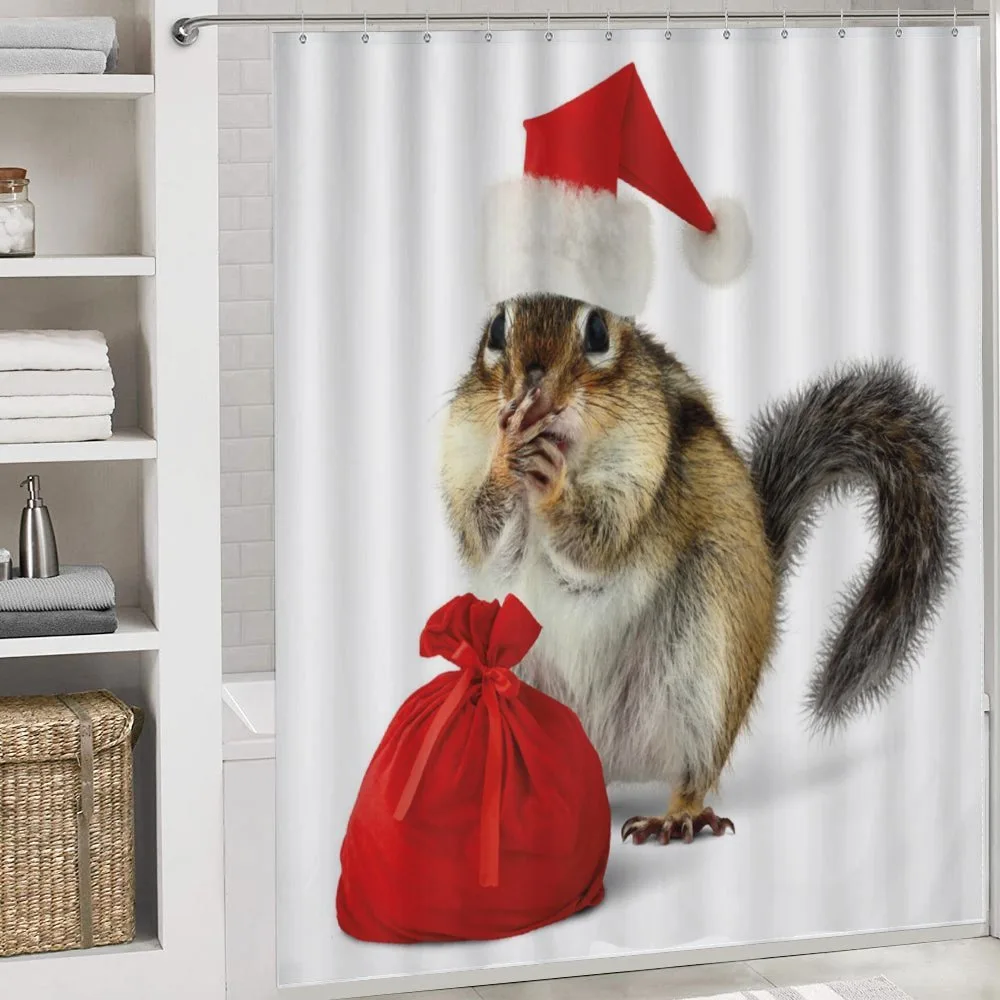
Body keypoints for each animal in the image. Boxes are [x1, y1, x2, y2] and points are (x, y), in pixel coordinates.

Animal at [439, 293, 962, 845]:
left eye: (598, 332)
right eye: (497, 332)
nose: (534, 388)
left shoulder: (642, 472)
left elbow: (596, 542)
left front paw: (554, 482)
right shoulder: (461, 458)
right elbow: (483, 527)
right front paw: (506, 454)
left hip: (707, 666)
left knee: (694, 769)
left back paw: (677, 815)